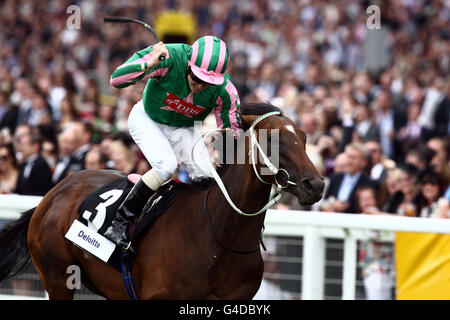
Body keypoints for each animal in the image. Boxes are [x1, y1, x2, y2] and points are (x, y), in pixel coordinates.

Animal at [0, 103, 324, 300]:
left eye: (305, 137)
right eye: (273, 139)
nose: (316, 185)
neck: (219, 237)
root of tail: (53, 194)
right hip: (57, 276)